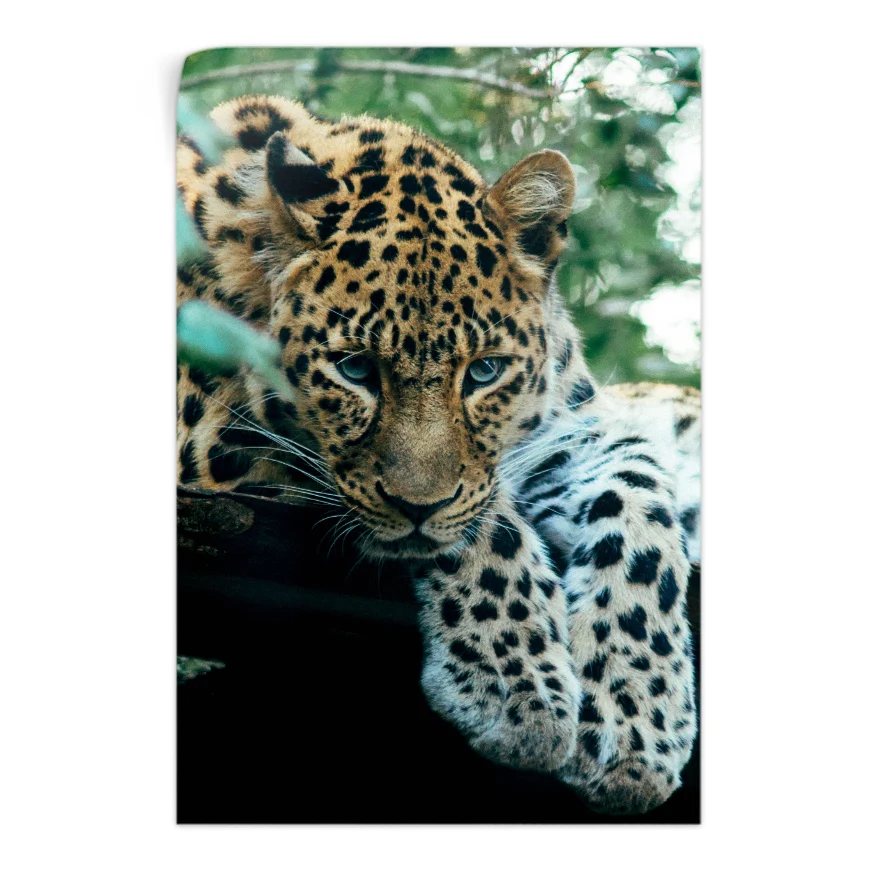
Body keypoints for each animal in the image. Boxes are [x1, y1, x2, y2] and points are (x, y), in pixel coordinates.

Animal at [176, 95, 701, 815]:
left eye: (484, 372)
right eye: (354, 369)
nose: (417, 507)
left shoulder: (571, 430)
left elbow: (641, 503)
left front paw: (636, 715)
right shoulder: (209, 439)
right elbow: (487, 520)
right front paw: (519, 691)